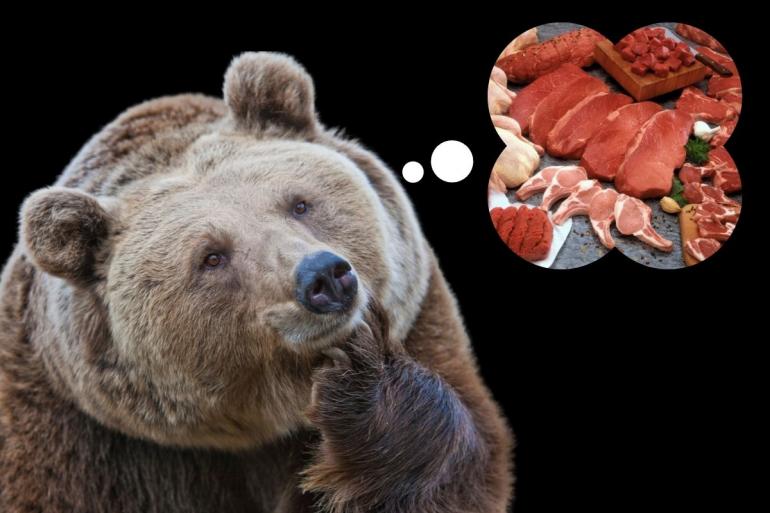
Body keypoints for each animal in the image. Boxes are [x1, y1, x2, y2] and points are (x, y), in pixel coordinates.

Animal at [0, 52, 513, 512]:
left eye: (300, 203)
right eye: (211, 257)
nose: (324, 276)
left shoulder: (422, 322)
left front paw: (364, 376)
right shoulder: (82, 444)